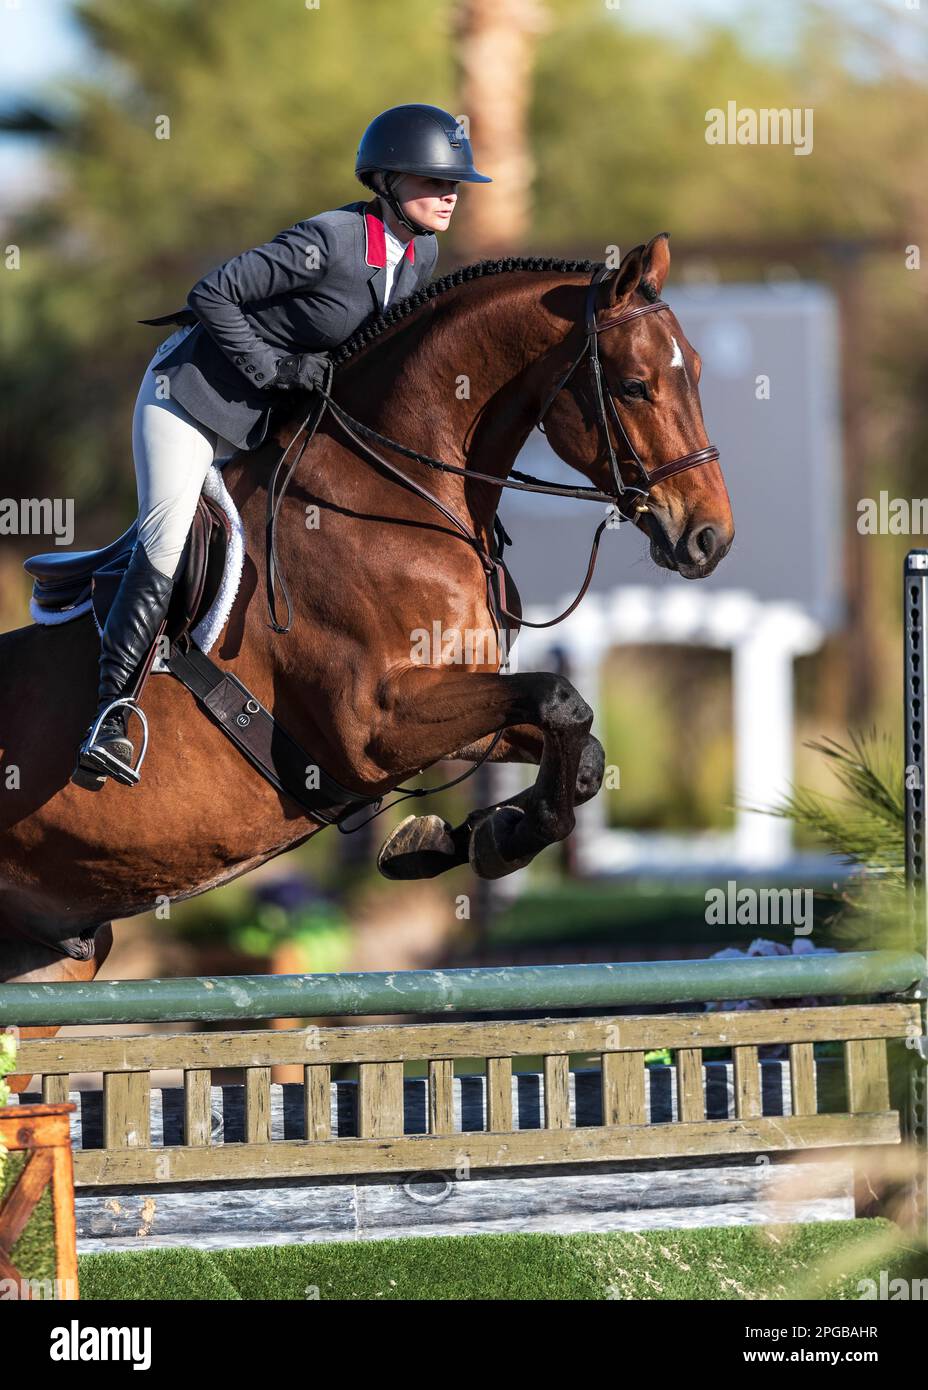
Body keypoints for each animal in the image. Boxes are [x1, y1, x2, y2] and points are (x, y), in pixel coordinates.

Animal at [0, 230, 733, 1073]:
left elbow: (577, 746)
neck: (396, 495)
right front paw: (484, 838)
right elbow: (559, 698)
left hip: (53, 962)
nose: (709, 538)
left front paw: (467, 839)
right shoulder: (371, 729)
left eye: (697, 373)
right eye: (638, 385)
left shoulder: (450, 708)